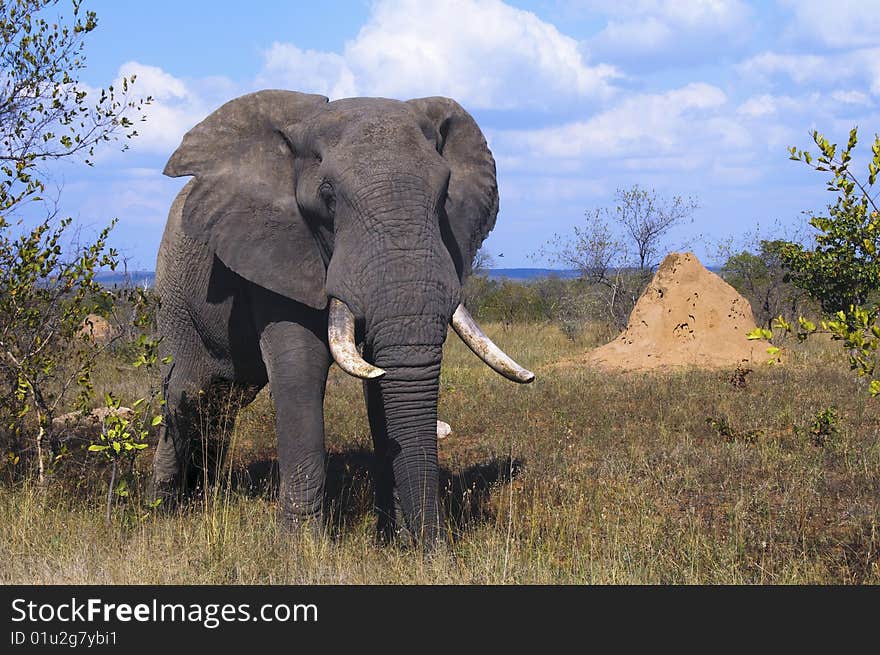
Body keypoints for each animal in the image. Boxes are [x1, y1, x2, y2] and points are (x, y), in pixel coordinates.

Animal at [150, 89, 532, 544]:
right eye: (328, 197)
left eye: (444, 196)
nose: (436, 550)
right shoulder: (276, 250)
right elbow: (300, 370)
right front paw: (300, 547)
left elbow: (381, 378)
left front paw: (393, 538)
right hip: (173, 294)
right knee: (186, 390)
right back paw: (165, 510)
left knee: (222, 399)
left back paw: (204, 494)